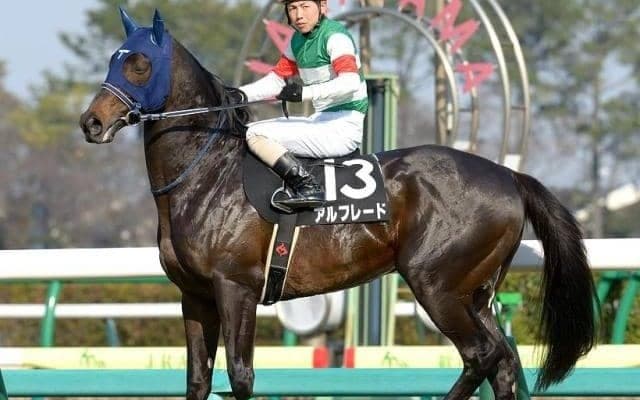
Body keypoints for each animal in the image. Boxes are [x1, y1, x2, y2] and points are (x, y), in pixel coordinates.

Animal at [79, 9, 597, 400]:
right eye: (113, 60)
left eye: (140, 64)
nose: (92, 122)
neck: (206, 176)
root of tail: (507, 175)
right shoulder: (195, 295)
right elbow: (197, 381)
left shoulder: (235, 288)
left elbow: (241, 376)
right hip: (476, 292)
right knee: (503, 362)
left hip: (437, 285)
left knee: (481, 356)